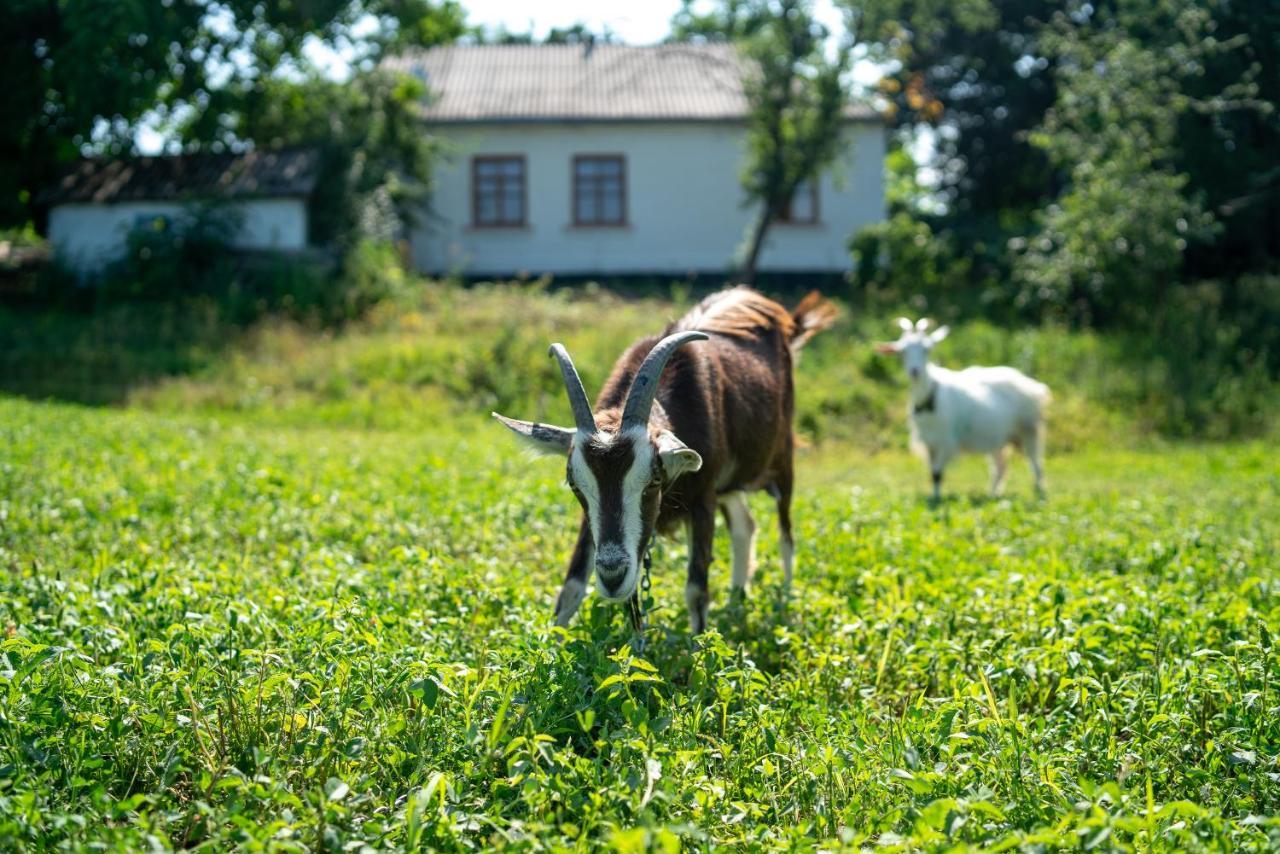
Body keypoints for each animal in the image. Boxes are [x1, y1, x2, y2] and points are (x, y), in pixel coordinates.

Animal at [491, 289, 839, 635]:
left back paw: (785, 605)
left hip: (780, 463)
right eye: (575, 485)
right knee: (745, 525)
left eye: (653, 480)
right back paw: (735, 605)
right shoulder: (593, 522)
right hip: (728, 488)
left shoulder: (703, 499)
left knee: (786, 535)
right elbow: (571, 587)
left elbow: (697, 591)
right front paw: (552, 644)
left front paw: (701, 648)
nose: (613, 576)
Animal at [880, 318, 1049, 501]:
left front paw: (938, 499)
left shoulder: (946, 441)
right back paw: (993, 494)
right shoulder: (929, 442)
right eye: (902, 351)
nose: (915, 371)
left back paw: (1039, 493)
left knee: (1036, 463)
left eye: (927, 349)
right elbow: (933, 473)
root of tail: (1032, 385)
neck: (931, 395)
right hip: (997, 437)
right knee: (1000, 467)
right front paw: (935, 496)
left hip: (1029, 429)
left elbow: (938, 473)